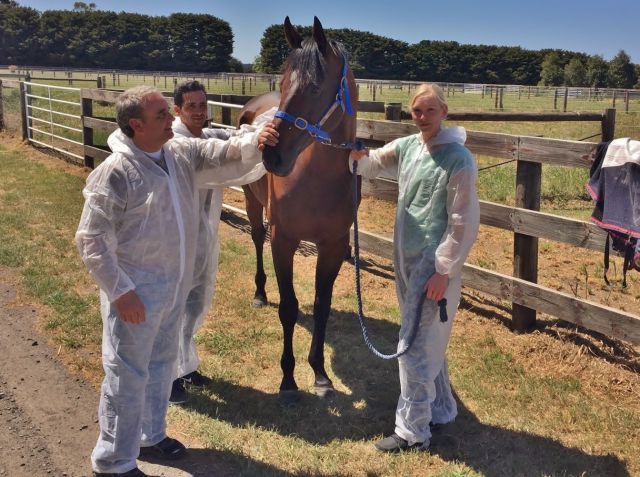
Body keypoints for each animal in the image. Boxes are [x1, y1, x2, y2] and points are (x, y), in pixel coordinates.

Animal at [240, 15, 360, 402]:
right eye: (283, 82)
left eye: (316, 88)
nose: (272, 155)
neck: (317, 180)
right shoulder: (284, 241)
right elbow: (289, 308)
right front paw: (289, 380)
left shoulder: (334, 246)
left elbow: (322, 307)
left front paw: (320, 374)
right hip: (252, 204)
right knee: (257, 238)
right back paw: (260, 293)